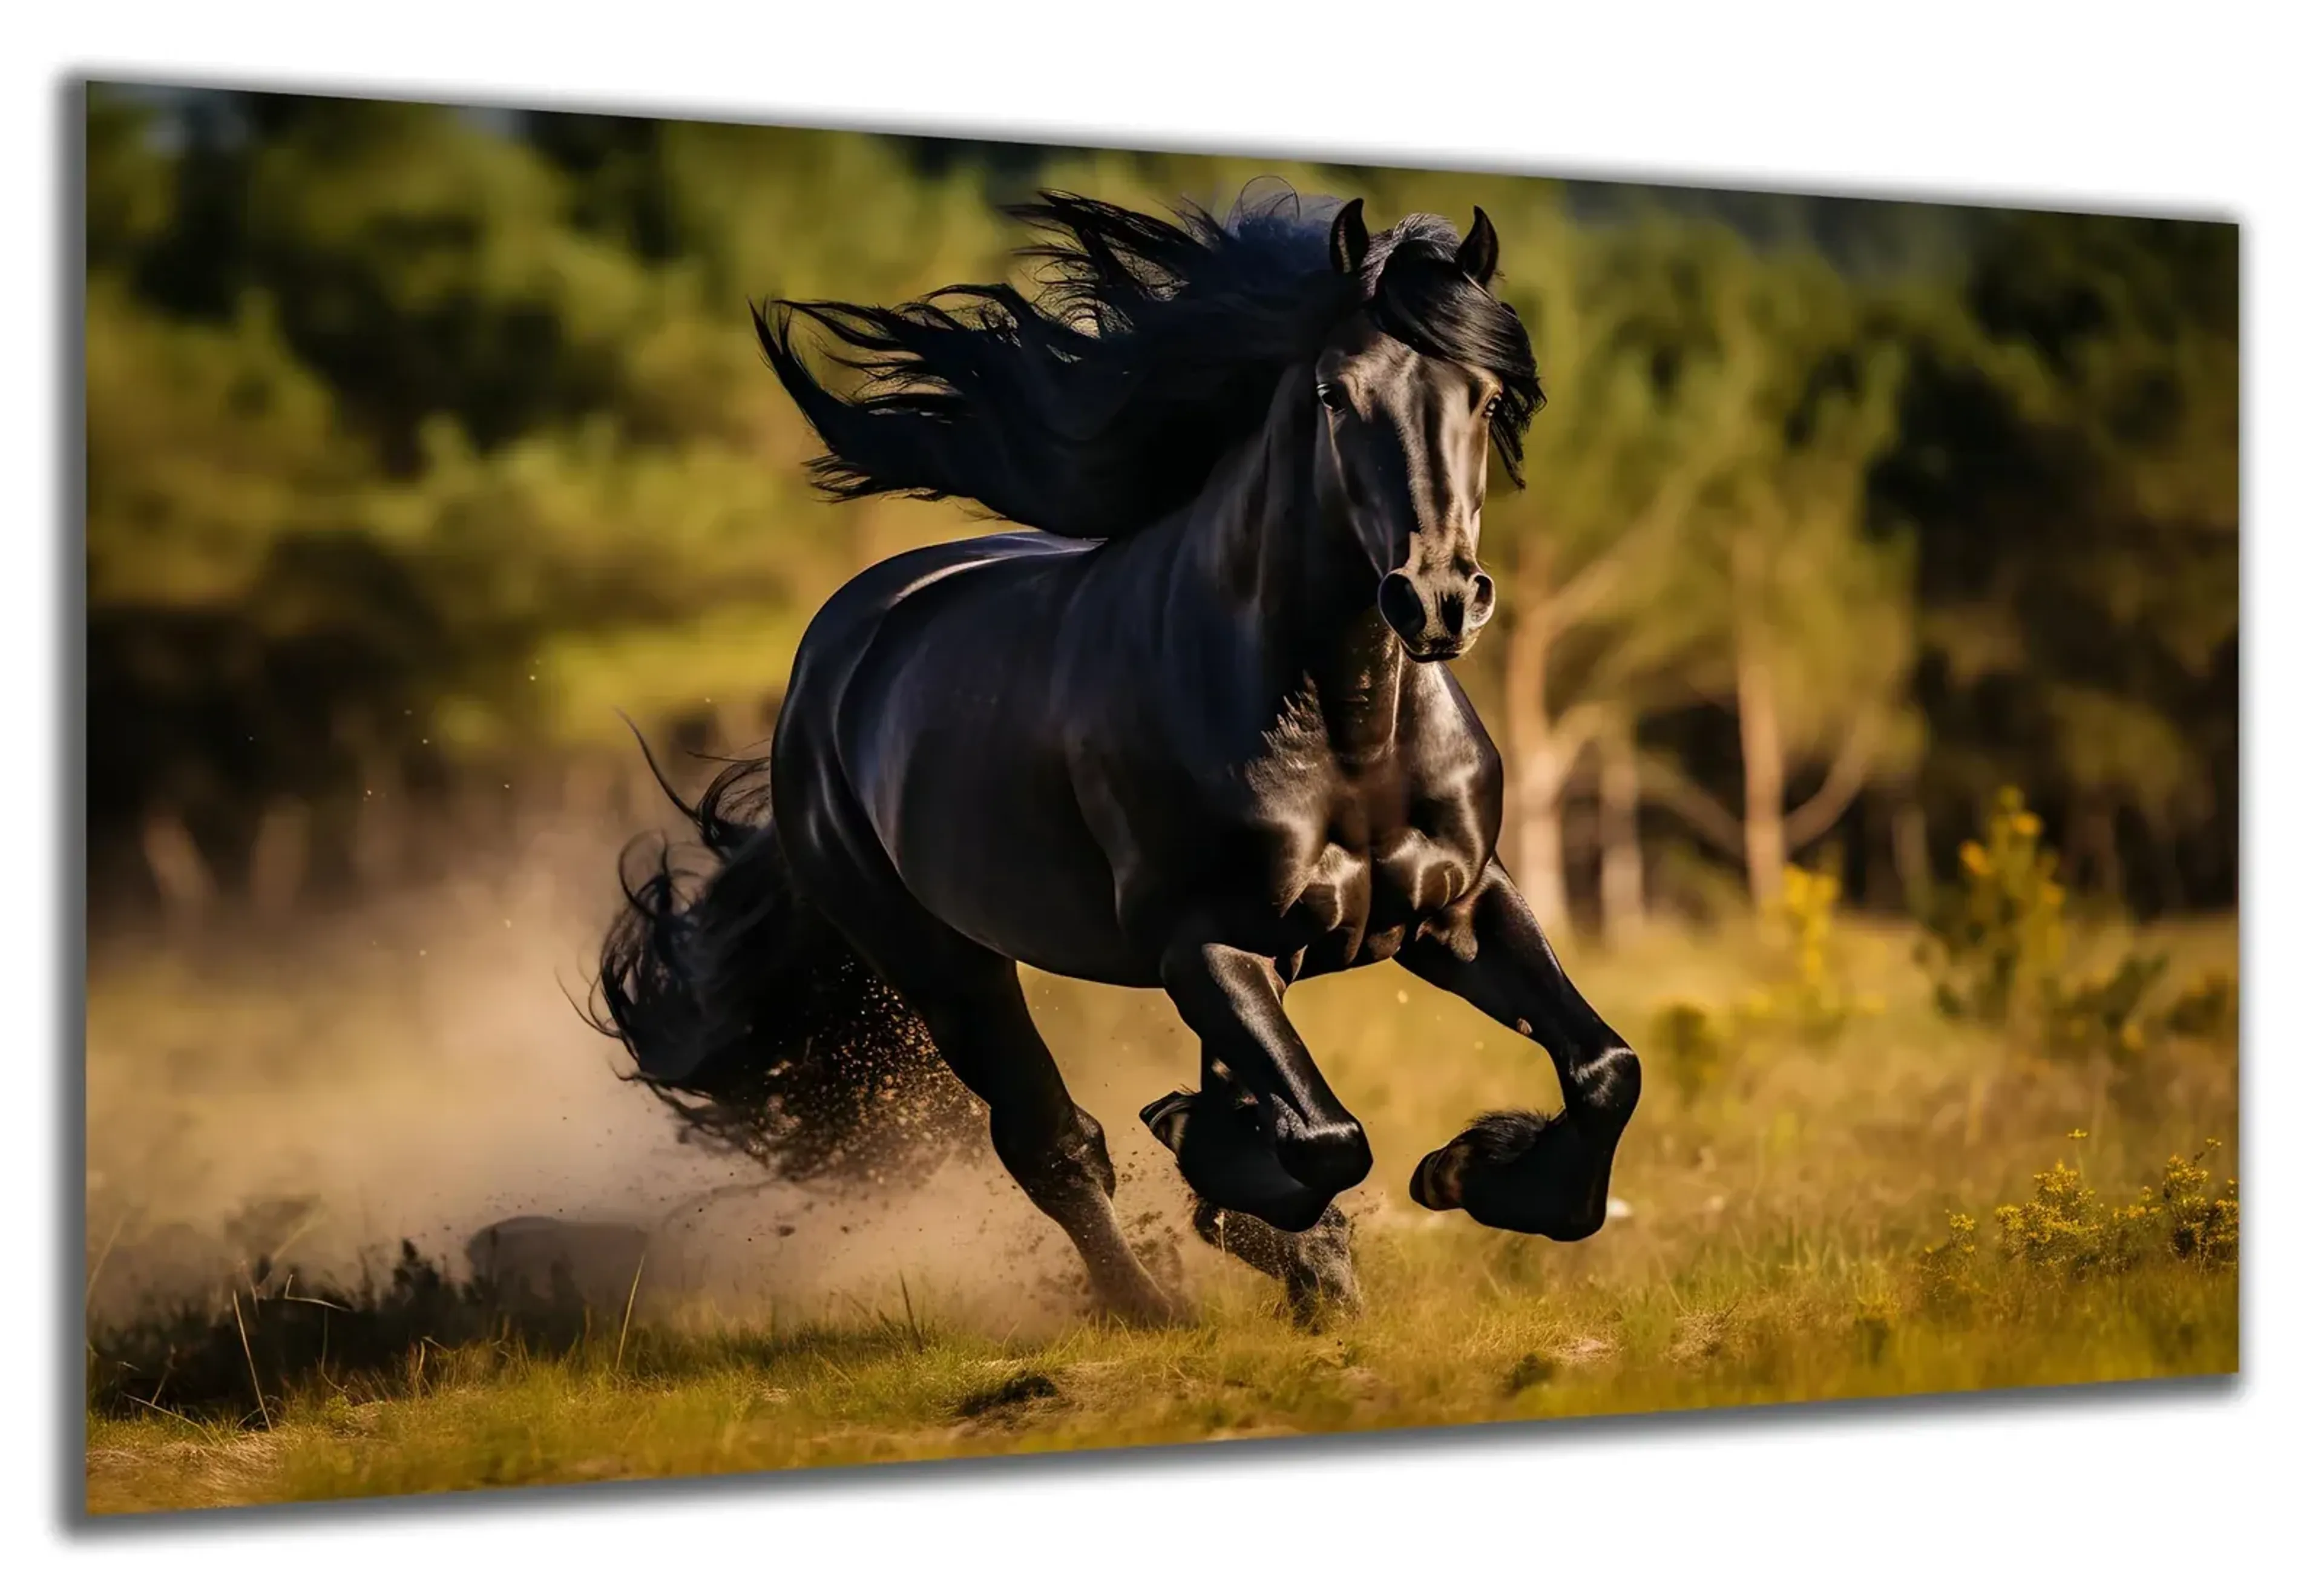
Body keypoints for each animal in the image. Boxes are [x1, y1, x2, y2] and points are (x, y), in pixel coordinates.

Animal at [594, 182, 1642, 1326]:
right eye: (1334, 394)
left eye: (1487, 397)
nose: (1440, 598)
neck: (1349, 736)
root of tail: (828, 664)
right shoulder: (1201, 944)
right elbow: (1324, 1136)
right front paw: (1227, 1162)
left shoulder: (1455, 908)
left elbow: (1605, 1067)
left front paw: (1472, 1175)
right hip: (945, 963)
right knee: (1052, 1141)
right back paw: (1153, 1300)